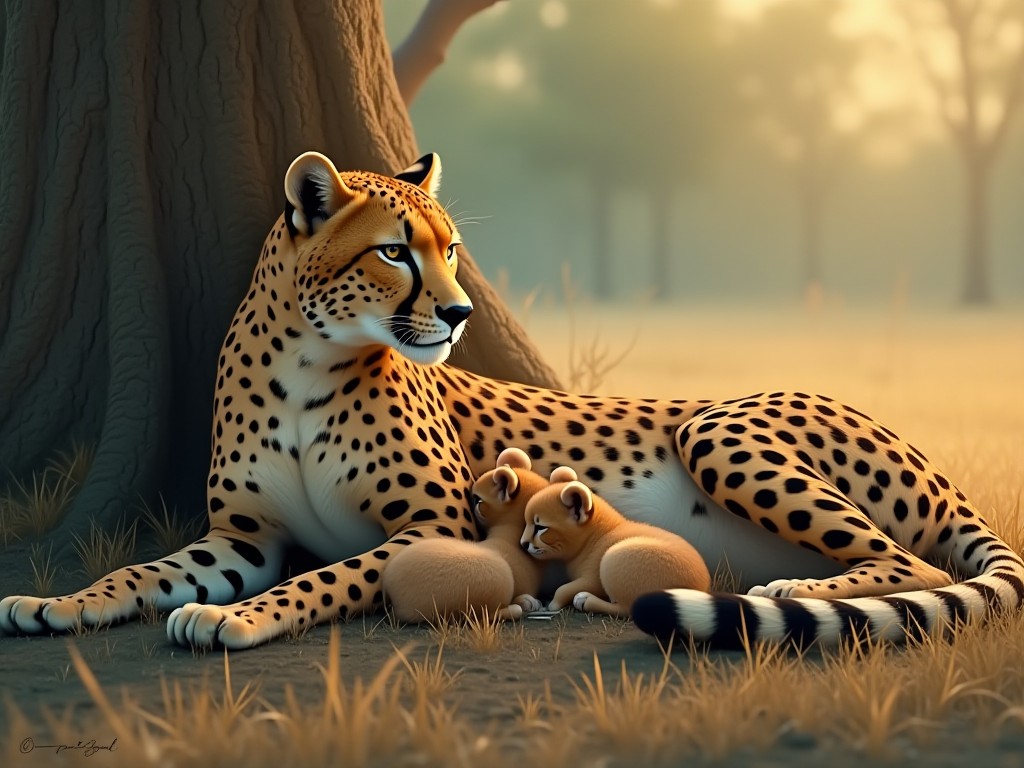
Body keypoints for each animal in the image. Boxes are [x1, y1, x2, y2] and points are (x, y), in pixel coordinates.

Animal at [383, 447, 546, 622]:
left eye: (478, 501)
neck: (507, 540)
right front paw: (528, 602)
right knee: (486, 614)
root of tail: (390, 594)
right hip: (498, 578)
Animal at [520, 467, 710, 618]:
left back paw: (586, 600)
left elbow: (563, 589)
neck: (597, 535)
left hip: (613, 560)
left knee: (626, 609)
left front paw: (550, 605)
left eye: (540, 527)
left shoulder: (593, 579)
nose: (522, 544)